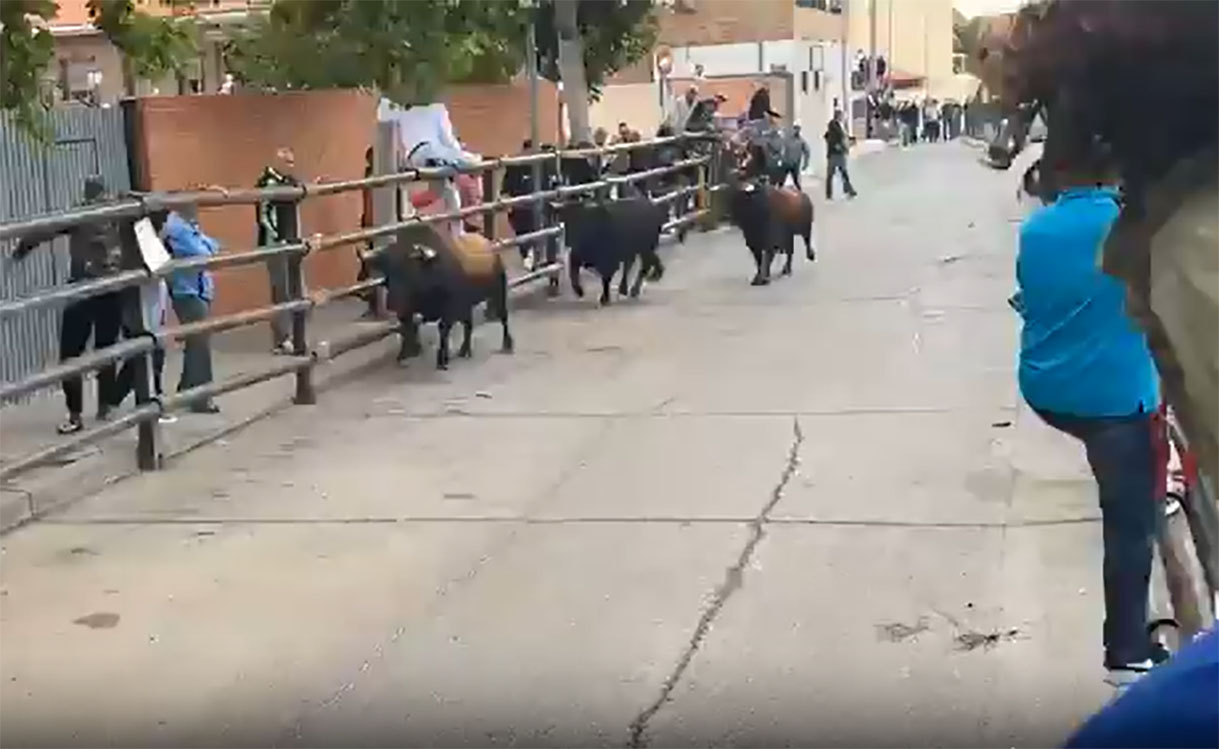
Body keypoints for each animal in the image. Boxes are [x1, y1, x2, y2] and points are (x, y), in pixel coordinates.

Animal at [377, 225, 516, 373]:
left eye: (408, 270)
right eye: (388, 272)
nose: (391, 303)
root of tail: (490, 246)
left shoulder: (450, 310)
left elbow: (442, 330)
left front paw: (442, 359)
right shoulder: (407, 311)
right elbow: (406, 327)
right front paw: (404, 354)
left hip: (499, 292)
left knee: (503, 316)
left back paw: (507, 344)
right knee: (469, 324)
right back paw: (465, 349)